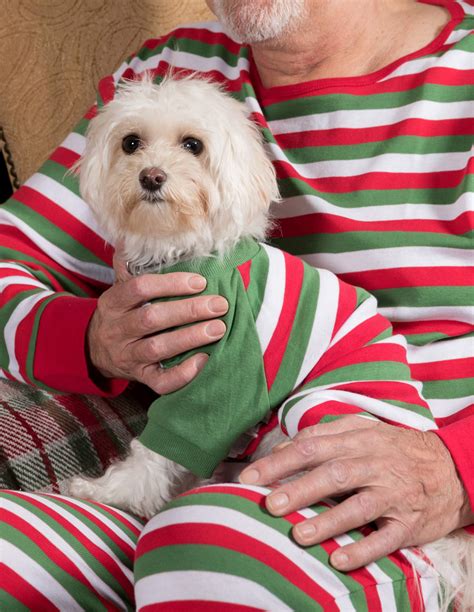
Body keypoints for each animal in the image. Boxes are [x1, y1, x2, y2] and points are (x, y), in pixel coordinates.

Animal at [70, 74, 470, 608]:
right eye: (130, 143)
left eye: (193, 145)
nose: (151, 177)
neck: (183, 249)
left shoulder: (221, 378)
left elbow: (164, 445)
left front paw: (116, 491)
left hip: (318, 410)